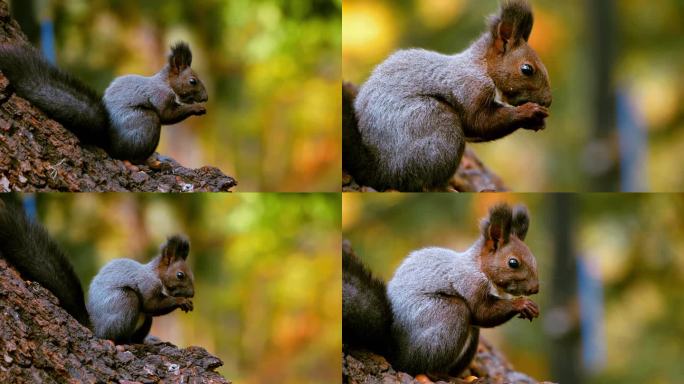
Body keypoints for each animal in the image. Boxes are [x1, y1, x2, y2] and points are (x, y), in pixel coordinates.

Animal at [0, 41, 208, 164]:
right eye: (193, 81)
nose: (205, 98)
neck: (165, 82)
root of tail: (108, 141)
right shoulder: (160, 96)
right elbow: (167, 116)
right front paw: (196, 108)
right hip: (146, 121)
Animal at [0, 196, 194, 344]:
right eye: (180, 275)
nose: (192, 294)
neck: (156, 274)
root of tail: (95, 328)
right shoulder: (147, 284)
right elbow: (151, 304)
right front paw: (181, 301)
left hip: (143, 319)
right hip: (125, 301)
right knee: (117, 335)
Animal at [342, 202, 540, 380]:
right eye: (513, 262)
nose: (535, 288)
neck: (478, 267)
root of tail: (394, 349)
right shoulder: (469, 282)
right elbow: (482, 313)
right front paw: (522, 303)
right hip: (447, 314)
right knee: (420, 367)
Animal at [350, 0, 552, 192]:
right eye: (527, 69)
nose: (548, 101)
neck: (482, 66)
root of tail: (382, 169)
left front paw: (536, 122)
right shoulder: (470, 87)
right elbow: (479, 122)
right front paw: (529, 112)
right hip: (436, 124)